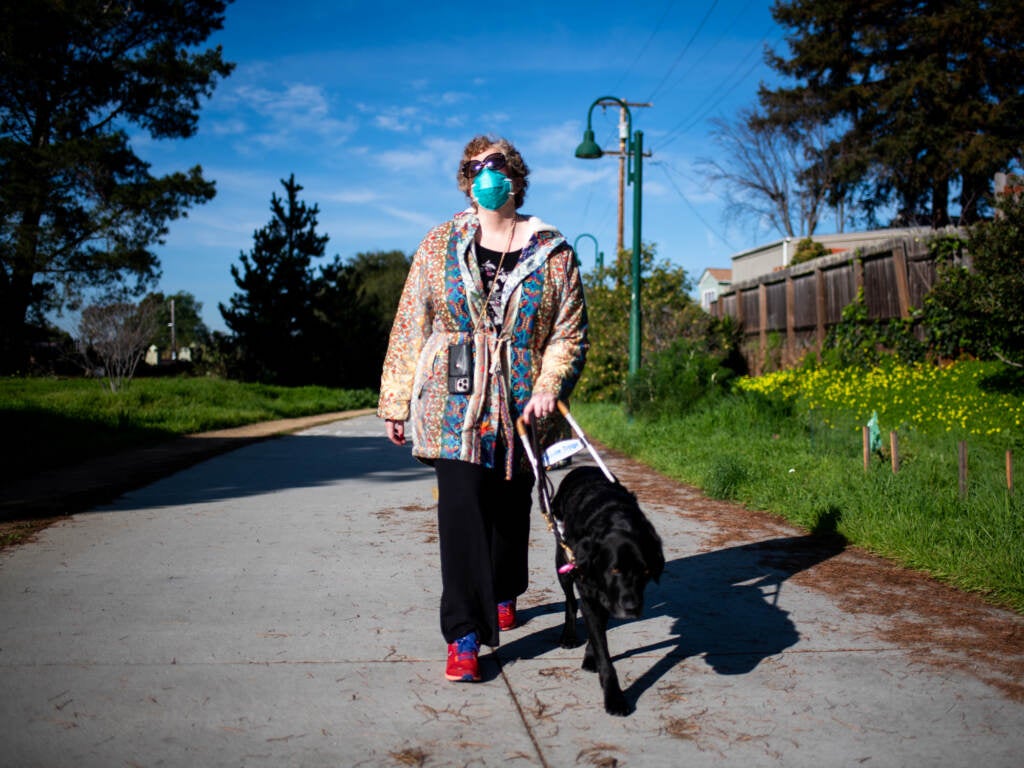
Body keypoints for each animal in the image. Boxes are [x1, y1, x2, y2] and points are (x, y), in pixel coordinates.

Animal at [552, 466, 663, 720]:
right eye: (614, 569)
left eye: (645, 571)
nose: (631, 607)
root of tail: (583, 467)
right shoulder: (591, 594)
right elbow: (604, 655)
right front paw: (614, 698)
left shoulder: (606, 599)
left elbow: (598, 634)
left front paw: (591, 656)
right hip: (563, 561)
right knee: (570, 602)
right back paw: (568, 636)